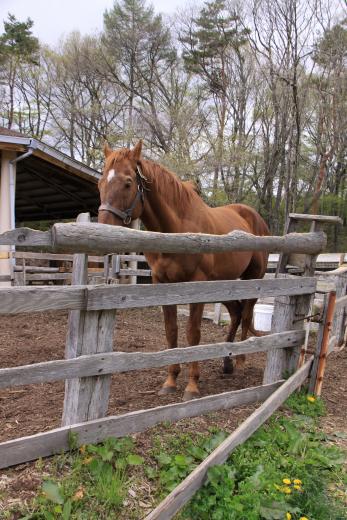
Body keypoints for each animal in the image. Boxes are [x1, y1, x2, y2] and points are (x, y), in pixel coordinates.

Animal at [99, 140, 270, 400]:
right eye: (100, 182)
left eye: (128, 183)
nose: (102, 230)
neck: (178, 229)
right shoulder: (163, 284)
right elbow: (171, 331)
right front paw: (170, 381)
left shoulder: (197, 286)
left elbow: (193, 333)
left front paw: (192, 386)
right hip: (223, 284)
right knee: (236, 313)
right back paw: (227, 363)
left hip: (252, 280)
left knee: (247, 314)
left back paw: (240, 362)